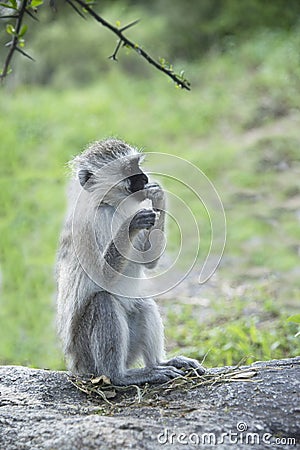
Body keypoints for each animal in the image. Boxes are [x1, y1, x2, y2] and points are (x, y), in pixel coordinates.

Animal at [56, 139, 205, 384]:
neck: (110, 206)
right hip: (86, 355)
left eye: (137, 164)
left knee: (143, 303)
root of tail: (76, 367)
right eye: (128, 169)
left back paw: (160, 363)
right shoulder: (89, 224)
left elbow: (148, 262)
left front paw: (158, 195)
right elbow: (102, 276)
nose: (144, 178)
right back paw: (121, 376)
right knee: (103, 302)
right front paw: (130, 225)